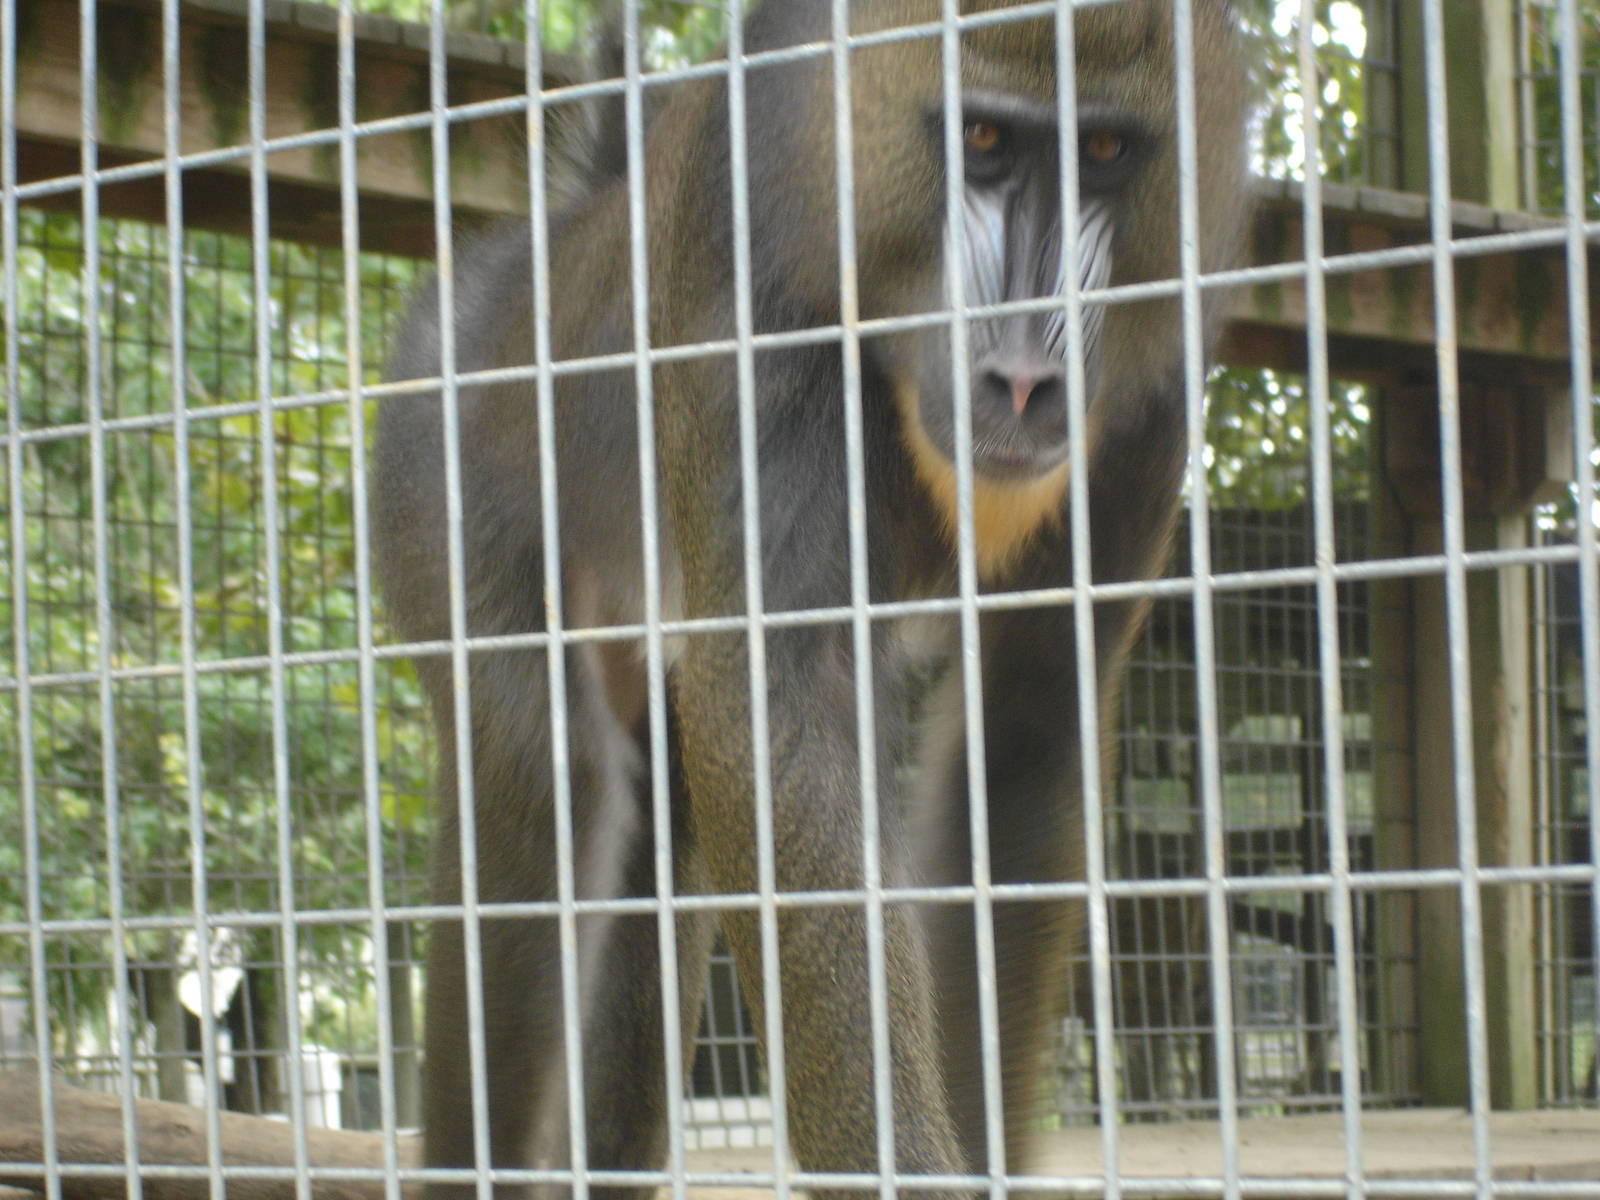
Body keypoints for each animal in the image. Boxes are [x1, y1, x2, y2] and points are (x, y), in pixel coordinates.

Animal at [372, 1, 1253, 1197]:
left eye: (1107, 151)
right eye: (982, 141)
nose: (1027, 379)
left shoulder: (1149, 392)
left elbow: (1023, 736)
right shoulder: (745, 286)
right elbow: (778, 716)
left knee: (657, 826)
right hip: (441, 468)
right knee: (542, 791)